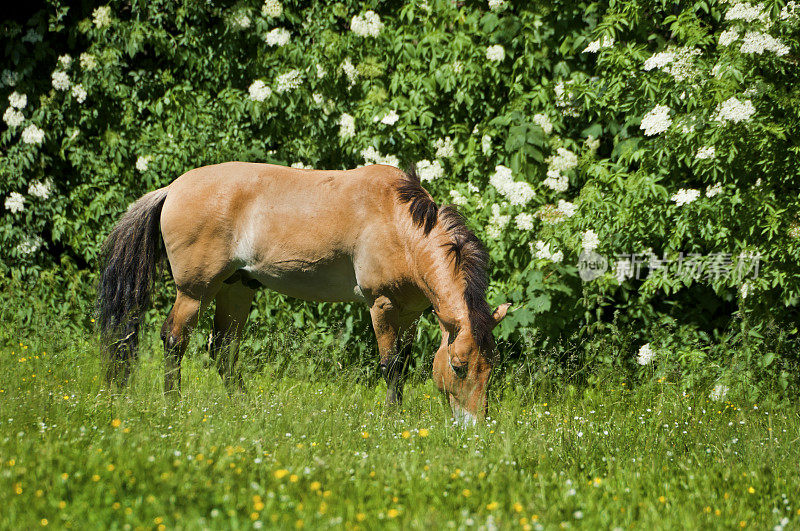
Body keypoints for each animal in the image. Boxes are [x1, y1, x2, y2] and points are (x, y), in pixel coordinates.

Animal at [97, 162, 510, 424]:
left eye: (490, 367)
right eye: (458, 366)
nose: (473, 428)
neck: (399, 224)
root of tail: (171, 189)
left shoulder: (409, 312)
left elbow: (404, 364)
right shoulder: (382, 306)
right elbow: (390, 365)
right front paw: (392, 419)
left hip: (236, 289)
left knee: (223, 350)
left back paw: (246, 407)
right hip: (195, 292)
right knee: (174, 339)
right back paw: (174, 403)